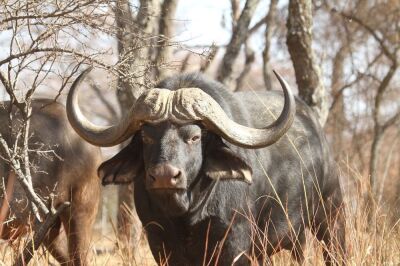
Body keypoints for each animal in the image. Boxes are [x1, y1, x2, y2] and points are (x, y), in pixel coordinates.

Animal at [67, 69, 346, 264]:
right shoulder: (159, 241)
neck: (186, 214)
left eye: (194, 137)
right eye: (146, 137)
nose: (165, 176)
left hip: (330, 217)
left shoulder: (234, 242)